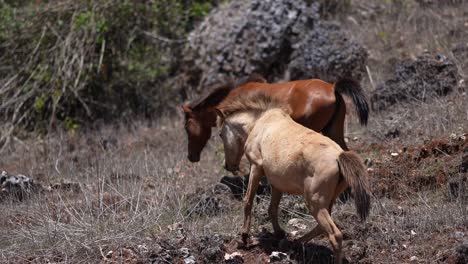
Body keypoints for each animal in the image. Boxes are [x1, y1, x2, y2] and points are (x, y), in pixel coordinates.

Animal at [214, 91, 372, 264]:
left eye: (221, 134)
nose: (228, 166)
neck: (260, 122)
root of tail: (339, 156)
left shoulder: (256, 167)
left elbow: (248, 201)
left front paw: (243, 238)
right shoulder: (276, 183)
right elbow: (272, 209)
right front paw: (279, 234)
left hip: (315, 203)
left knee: (334, 235)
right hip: (326, 202)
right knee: (321, 228)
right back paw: (293, 243)